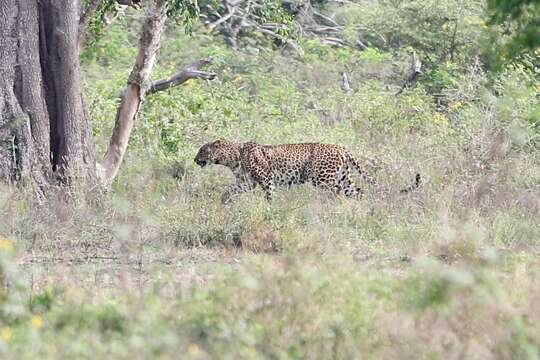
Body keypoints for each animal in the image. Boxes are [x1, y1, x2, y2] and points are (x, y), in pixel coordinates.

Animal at [194, 139, 422, 204]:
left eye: (202, 150)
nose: (195, 160)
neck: (234, 157)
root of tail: (341, 148)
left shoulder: (267, 179)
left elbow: (269, 195)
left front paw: (270, 209)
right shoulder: (246, 182)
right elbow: (230, 190)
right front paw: (224, 202)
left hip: (324, 178)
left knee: (335, 192)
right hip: (345, 178)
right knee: (358, 192)